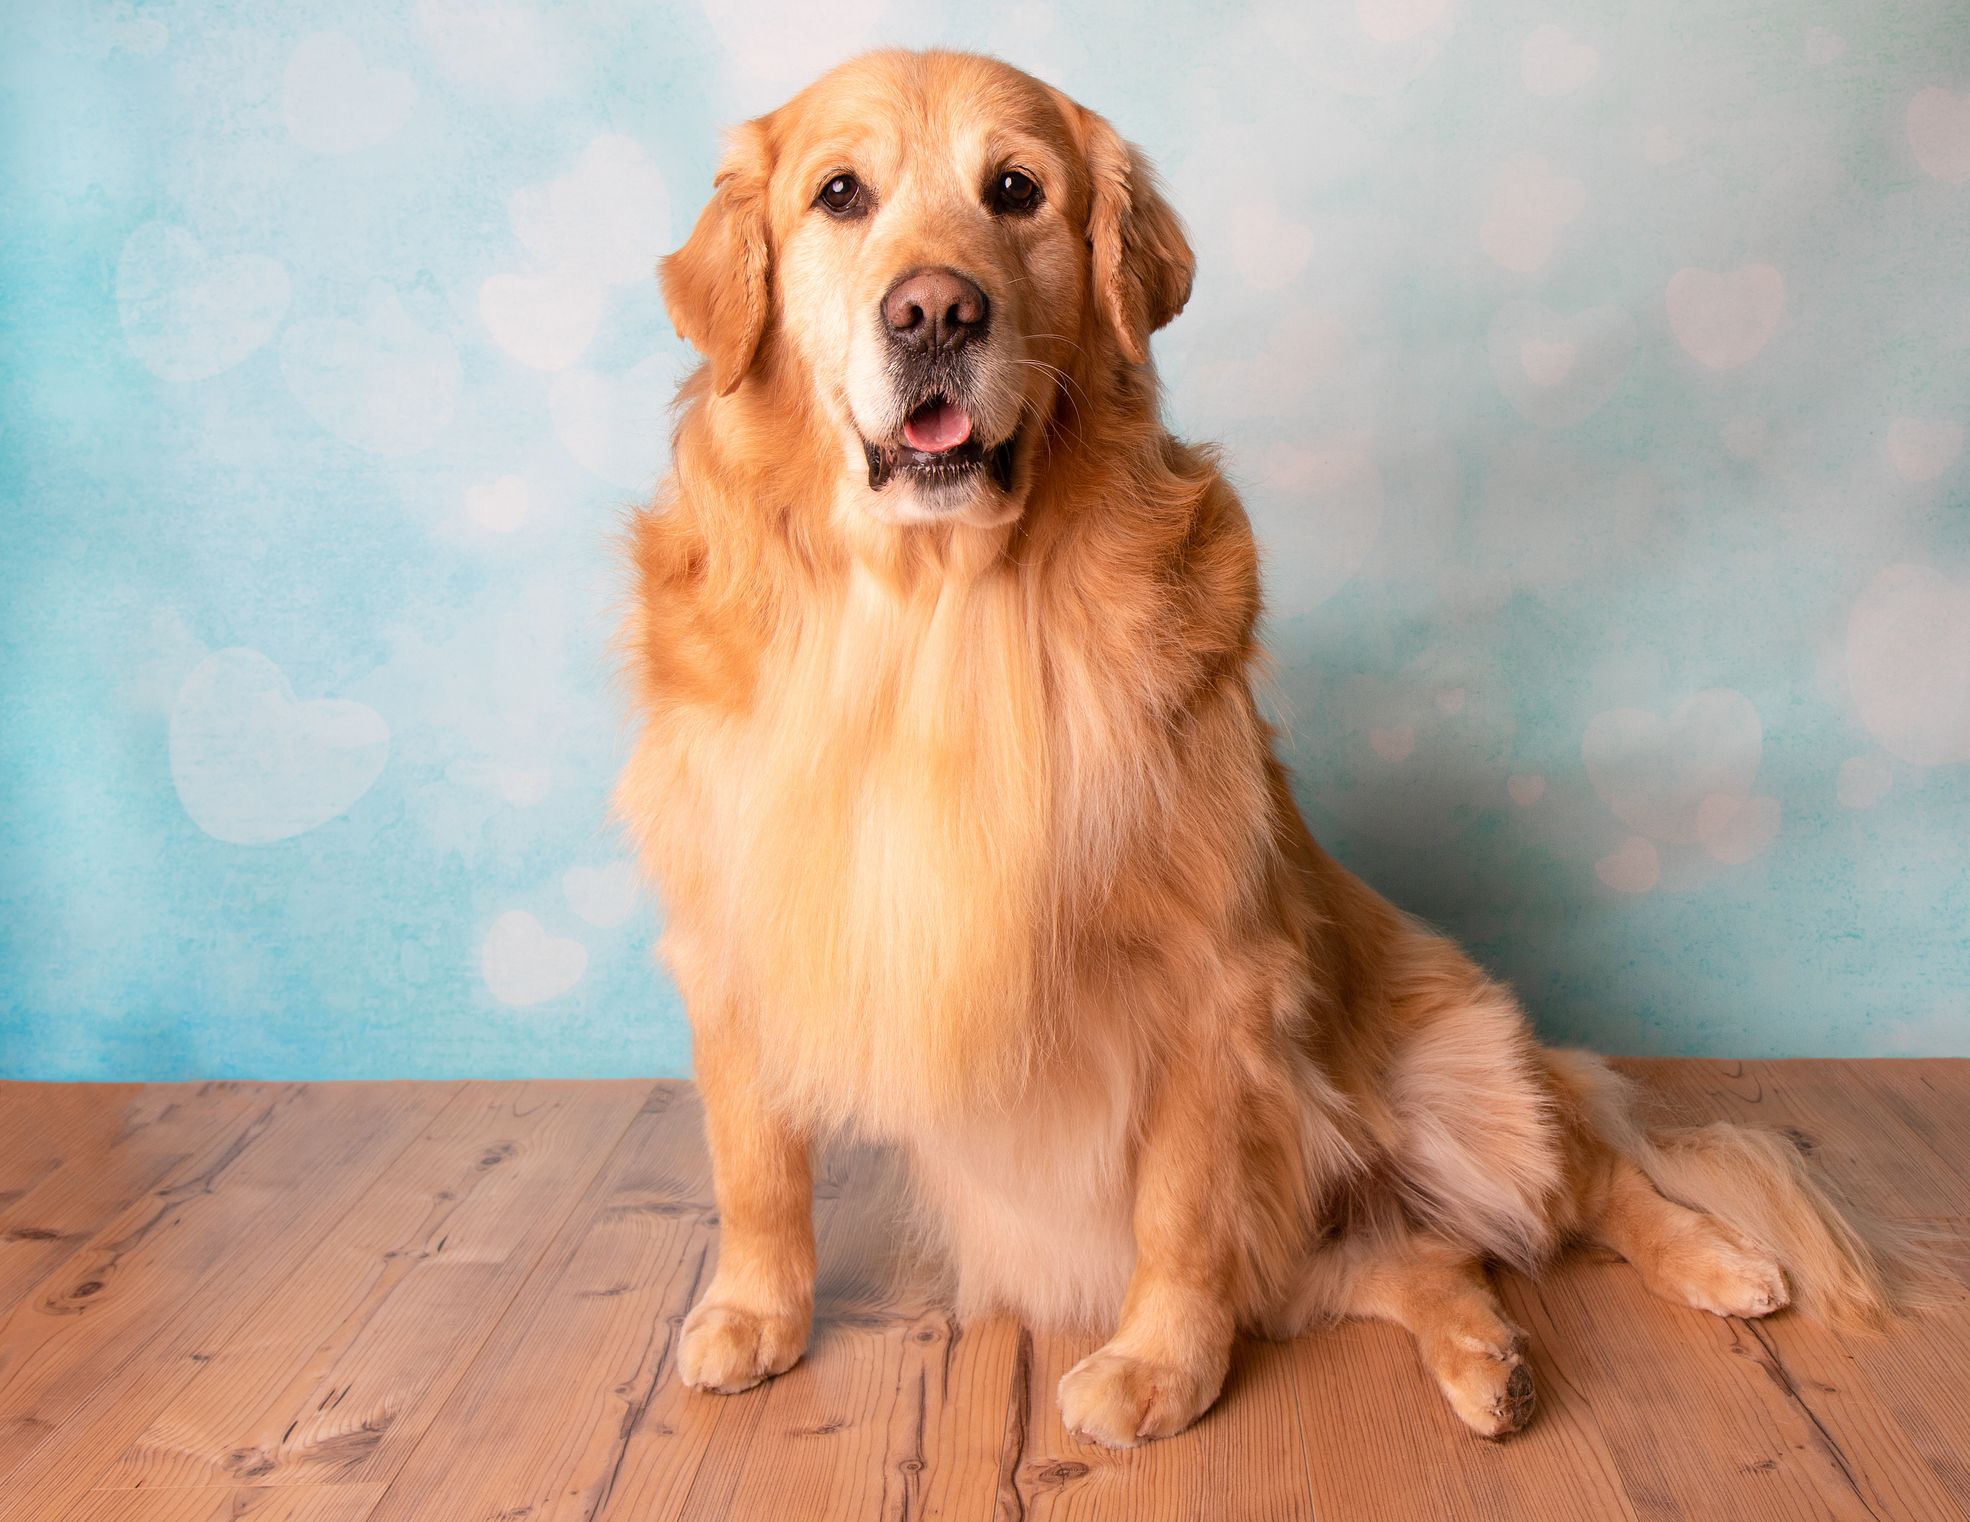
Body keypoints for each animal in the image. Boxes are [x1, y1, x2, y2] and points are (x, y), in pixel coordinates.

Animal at [618, 50, 1906, 1449]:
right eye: (838, 195)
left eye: (1014, 192)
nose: (935, 313)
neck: (940, 613)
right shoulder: (732, 939)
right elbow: (754, 1168)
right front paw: (753, 1313)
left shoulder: (1209, 980)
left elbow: (1180, 1210)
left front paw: (1156, 1364)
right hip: (1329, 1242)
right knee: (1429, 1259)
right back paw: (1489, 1364)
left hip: (1472, 1083)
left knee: (1591, 1176)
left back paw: (1714, 1259)